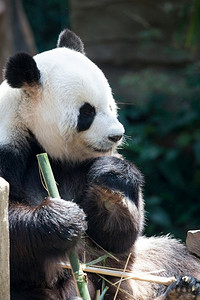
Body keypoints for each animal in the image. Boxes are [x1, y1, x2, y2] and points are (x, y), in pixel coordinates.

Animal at [0, 28, 200, 300]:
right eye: (87, 112)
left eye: (111, 105)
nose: (117, 135)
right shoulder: (8, 151)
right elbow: (12, 233)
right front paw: (63, 218)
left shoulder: (83, 166)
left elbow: (115, 238)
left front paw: (110, 182)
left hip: (136, 269)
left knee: (173, 257)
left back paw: (182, 289)